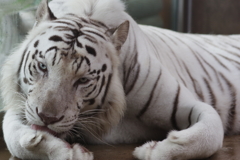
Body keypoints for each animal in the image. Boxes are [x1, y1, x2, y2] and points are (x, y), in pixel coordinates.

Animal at [0, 0, 239, 159]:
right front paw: (65, 152)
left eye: (83, 80)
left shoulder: (194, 106)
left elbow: (208, 135)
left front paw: (154, 150)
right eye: (43, 66)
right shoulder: (22, 105)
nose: (47, 118)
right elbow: (15, 138)